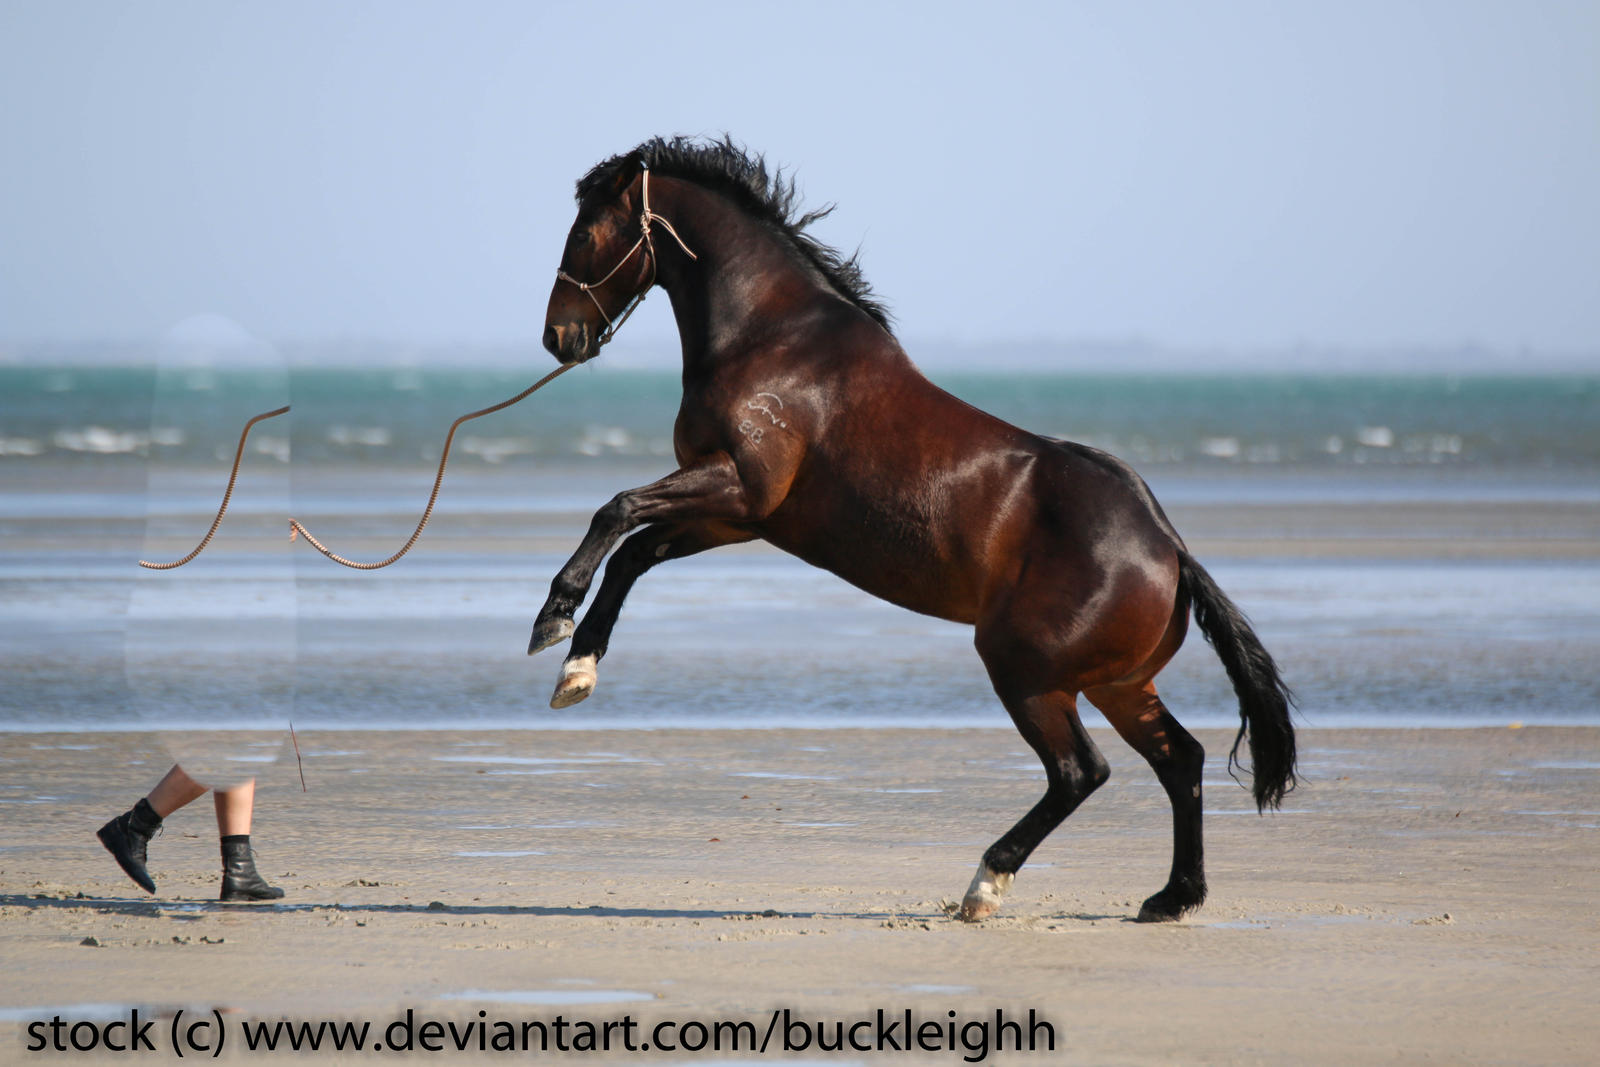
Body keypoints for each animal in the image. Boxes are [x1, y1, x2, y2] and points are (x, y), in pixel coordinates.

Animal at [531, 136, 1296, 922]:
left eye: (585, 233)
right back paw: (1173, 895)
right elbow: (634, 553)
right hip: (1117, 683)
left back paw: (986, 883)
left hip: (1024, 670)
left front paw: (553, 617)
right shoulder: (741, 516)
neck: (772, 340)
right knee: (1181, 759)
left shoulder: (737, 484)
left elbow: (617, 510)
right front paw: (577, 666)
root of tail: (1168, 550)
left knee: (1081, 771)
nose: (558, 336)